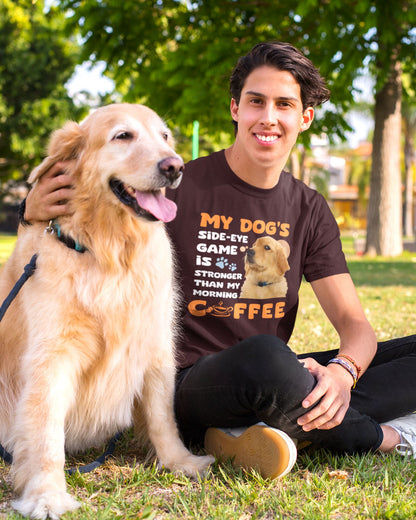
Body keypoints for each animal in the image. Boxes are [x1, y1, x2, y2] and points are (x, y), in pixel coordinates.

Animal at [0, 103, 213, 516]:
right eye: (123, 136)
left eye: (165, 136)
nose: (174, 166)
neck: (110, 251)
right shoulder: (52, 354)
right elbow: (46, 433)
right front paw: (47, 494)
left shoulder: (154, 343)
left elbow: (163, 417)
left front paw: (180, 462)